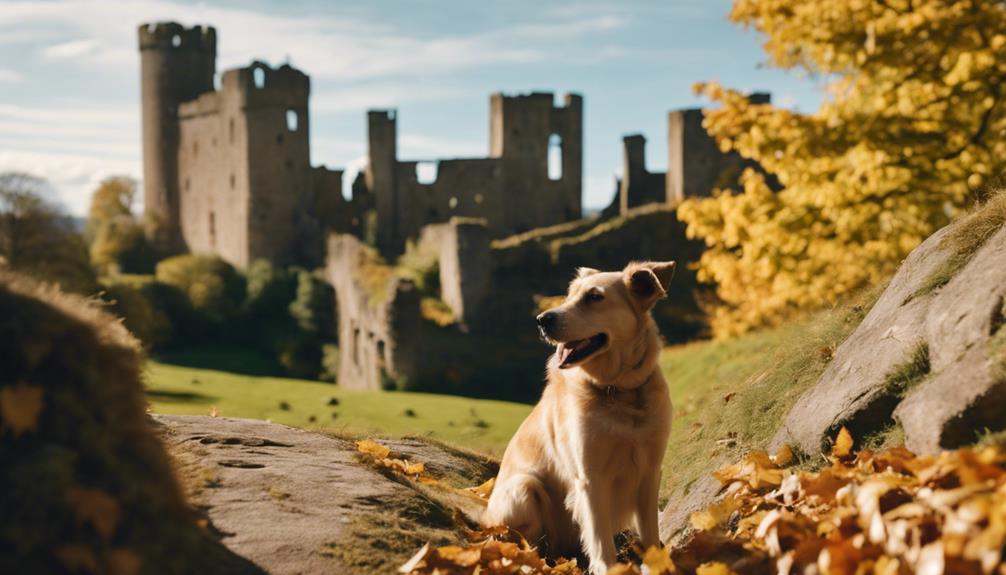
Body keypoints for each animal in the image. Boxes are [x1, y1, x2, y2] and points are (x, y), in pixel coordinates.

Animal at [486, 261, 676, 575]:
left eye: (594, 297)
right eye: (569, 296)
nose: (542, 320)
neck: (618, 390)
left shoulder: (650, 470)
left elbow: (650, 535)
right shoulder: (591, 477)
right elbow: (600, 541)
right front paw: (608, 567)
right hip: (525, 488)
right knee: (527, 545)